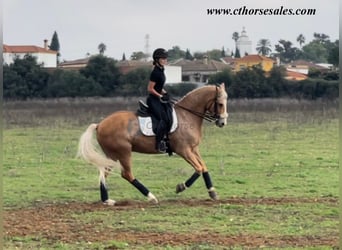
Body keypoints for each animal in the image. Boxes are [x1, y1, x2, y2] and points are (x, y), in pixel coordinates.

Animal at [77, 83, 227, 204]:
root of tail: (100, 124)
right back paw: (151, 197)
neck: (187, 115)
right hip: (124, 152)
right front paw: (181, 187)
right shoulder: (183, 150)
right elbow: (199, 169)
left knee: (104, 172)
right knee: (127, 174)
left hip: (112, 155)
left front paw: (212, 192)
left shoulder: (194, 149)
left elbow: (204, 167)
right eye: (220, 104)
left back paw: (106, 200)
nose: (222, 123)